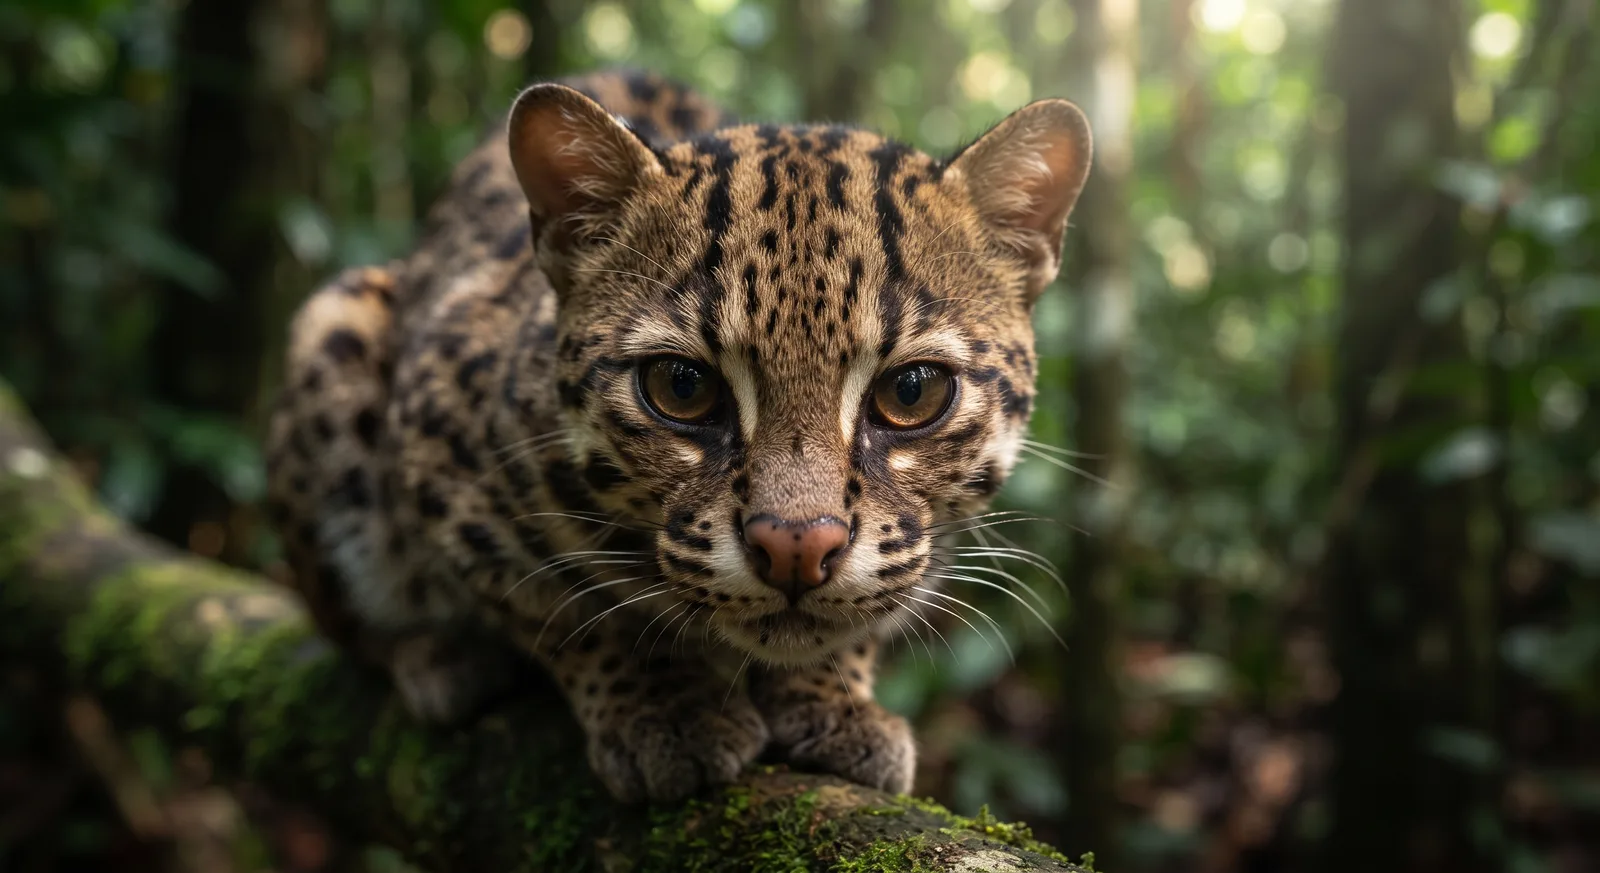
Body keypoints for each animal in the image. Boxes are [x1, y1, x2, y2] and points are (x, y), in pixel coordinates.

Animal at [264, 69, 1090, 803]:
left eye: (911, 391)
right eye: (682, 388)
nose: (797, 548)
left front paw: (832, 695)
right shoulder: (438, 445)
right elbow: (561, 606)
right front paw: (663, 708)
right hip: (331, 324)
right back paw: (437, 657)